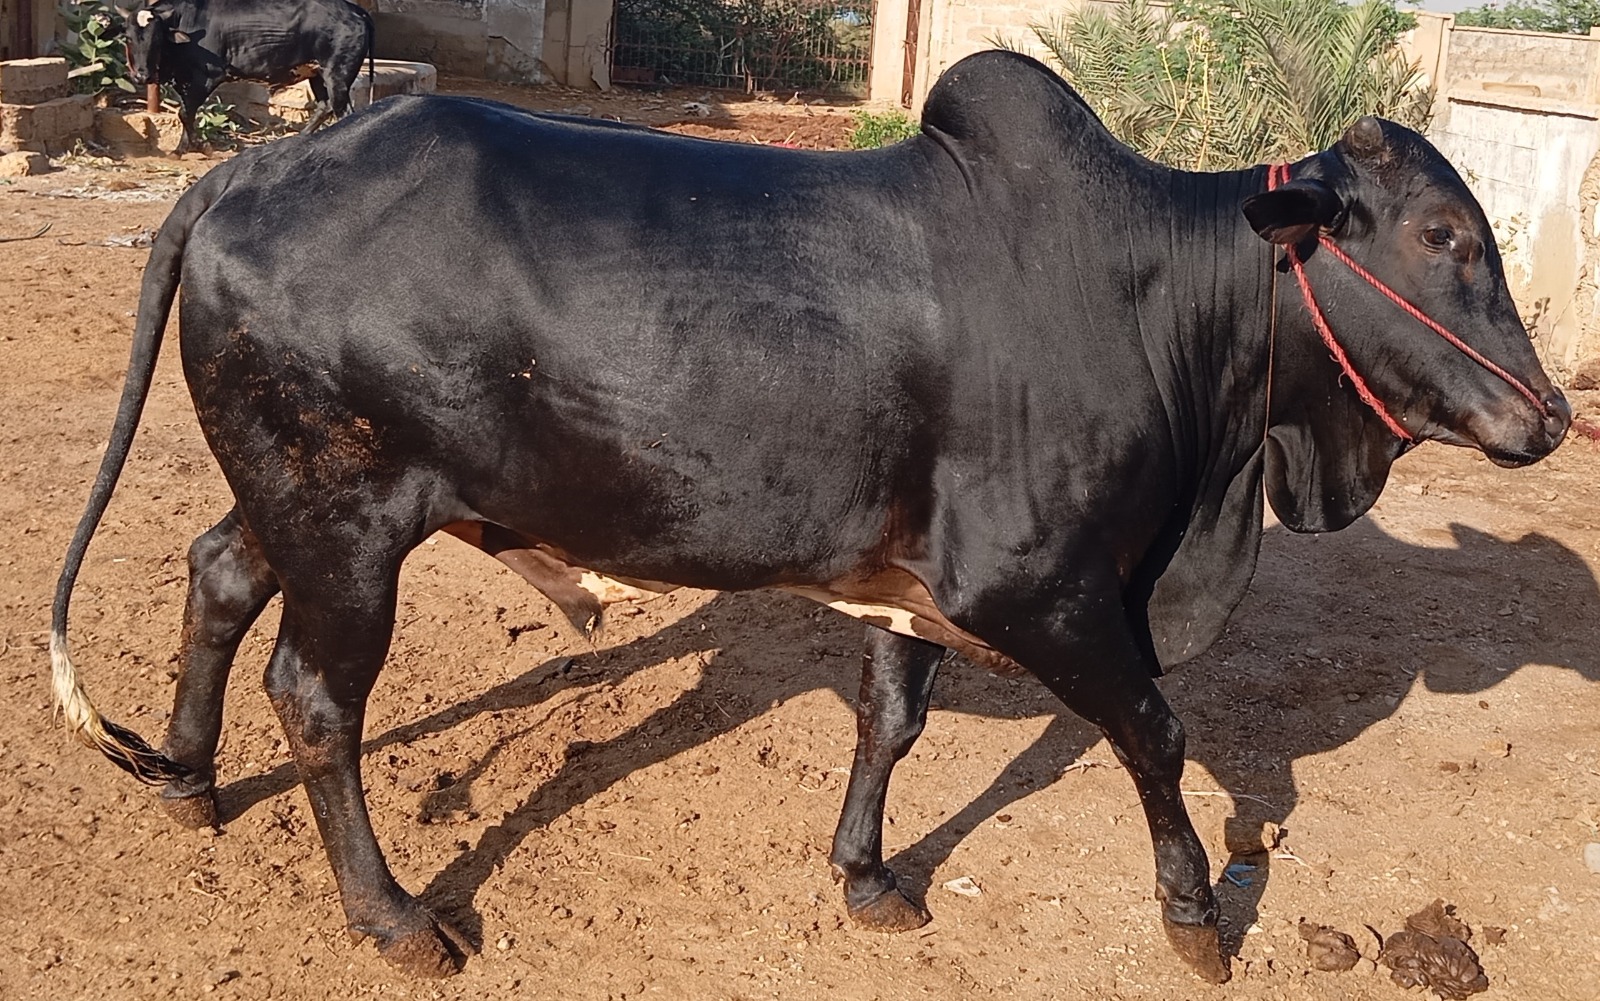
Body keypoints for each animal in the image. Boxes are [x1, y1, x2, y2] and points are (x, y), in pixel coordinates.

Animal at [49, 51, 1568, 982]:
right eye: (1441, 237)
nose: (1548, 414)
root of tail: (239, 173)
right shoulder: (1041, 587)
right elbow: (1154, 728)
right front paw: (1195, 915)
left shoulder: (915, 579)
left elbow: (889, 720)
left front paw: (866, 873)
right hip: (348, 519)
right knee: (316, 696)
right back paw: (395, 914)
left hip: (290, 499)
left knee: (214, 573)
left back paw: (186, 776)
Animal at [114, 0, 375, 149]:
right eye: (128, 37)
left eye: (156, 38)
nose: (142, 76)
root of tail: (356, 10)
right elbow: (187, 113)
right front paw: (181, 148)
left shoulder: (207, 76)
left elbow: (185, 113)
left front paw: (199, 145)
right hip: (317, 74)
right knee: (324, 106)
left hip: (337, 75)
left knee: (343, 111)